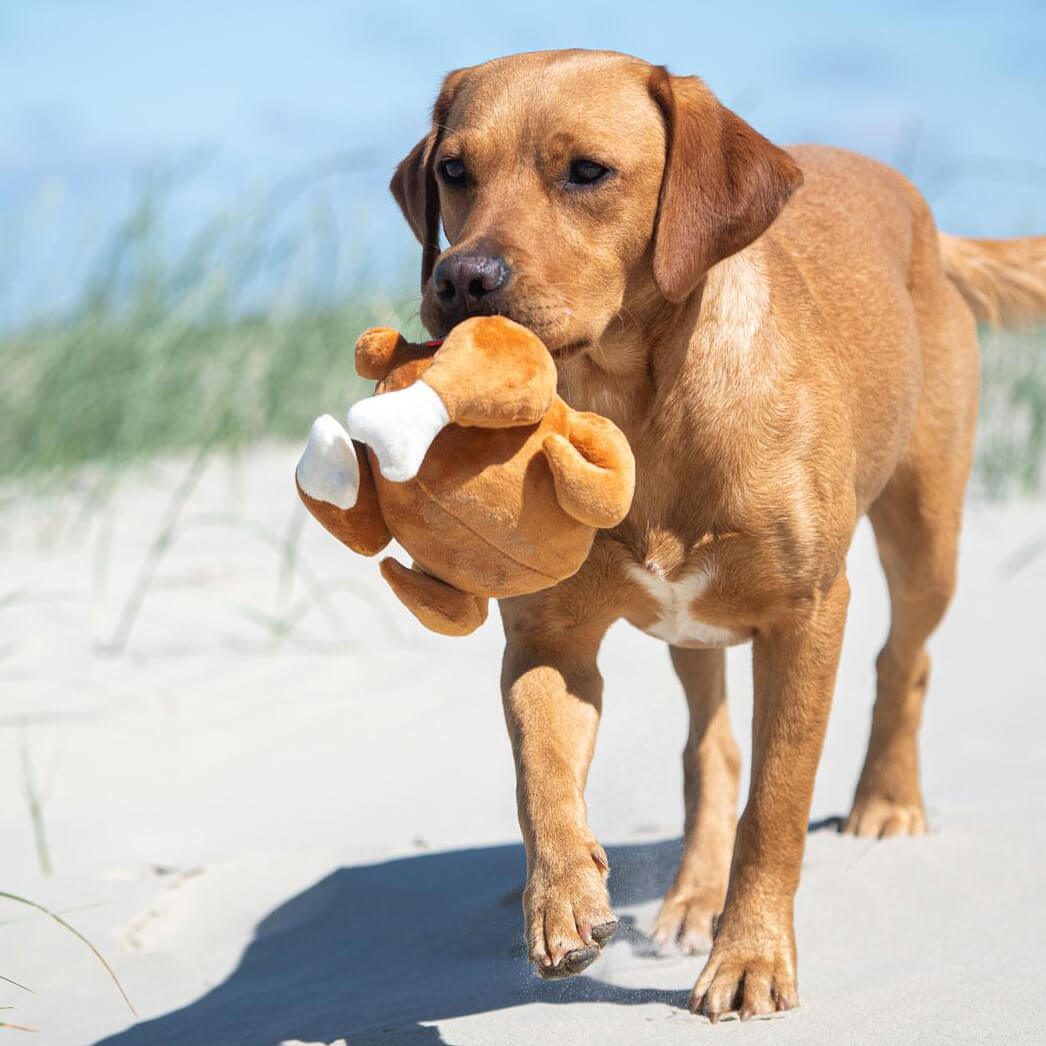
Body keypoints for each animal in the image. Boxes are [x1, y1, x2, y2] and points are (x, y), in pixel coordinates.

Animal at [387, 50, 1046, 1020]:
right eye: (453, 171)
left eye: (587, 171)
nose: (462, 280)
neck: (638, 405)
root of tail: (925, 215)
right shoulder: (548, 640)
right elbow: (539, 772)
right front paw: (562, 896)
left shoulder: (807, 617)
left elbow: (774, 808)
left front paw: (752, 955)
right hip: (693, 631)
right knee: (711, 748)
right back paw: (695, 893)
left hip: (926, 532)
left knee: (905, 660)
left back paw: (886, 799)